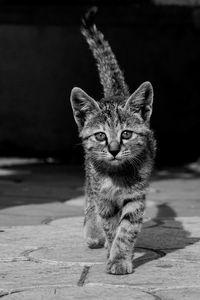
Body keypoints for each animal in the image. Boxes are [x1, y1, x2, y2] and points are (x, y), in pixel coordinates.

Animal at [70, 6, 156, 274]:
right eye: (100, 135)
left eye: (126, 134)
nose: (114, 149)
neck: (117, 174)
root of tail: (114, 94)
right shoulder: (104, 197)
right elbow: (110, 225)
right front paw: (112, 251)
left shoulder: (136, 197)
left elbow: (126, 229)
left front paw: (119, 257)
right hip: (90, 176)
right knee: (89, 200)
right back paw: (93, 233)